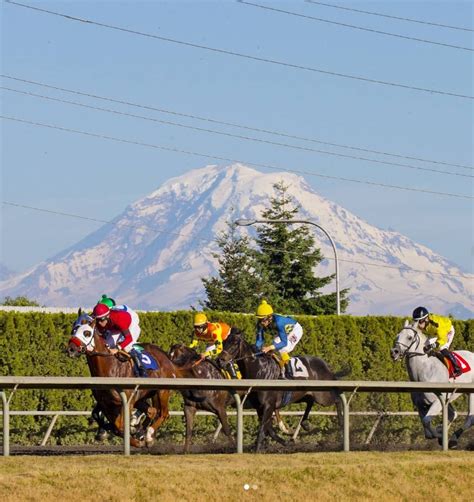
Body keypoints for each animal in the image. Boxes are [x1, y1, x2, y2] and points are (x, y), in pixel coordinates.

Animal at [66, 316, 178, 450]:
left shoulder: (127, 402)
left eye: (87, 333)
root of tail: (165, 355)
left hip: (162, 391)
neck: (110, 368)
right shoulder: (105, 403)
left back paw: (148, 436)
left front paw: (136, 439)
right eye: (73, 330)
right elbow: (109, 422)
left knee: (164, 414)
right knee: (152, 411)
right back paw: (142, 433)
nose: (71, 349)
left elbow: (119, 425)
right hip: (144, 396)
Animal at [390, 320, 472, 450]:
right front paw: (440, 434)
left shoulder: (438, 401)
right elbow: (427, 431)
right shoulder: (421, 405)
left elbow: (427, 422)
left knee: (470, 417)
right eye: (397, 336)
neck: (423, 373)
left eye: (409, 337)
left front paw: (442, 437)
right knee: (453, 414)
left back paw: (453, 439)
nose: (394, 352)